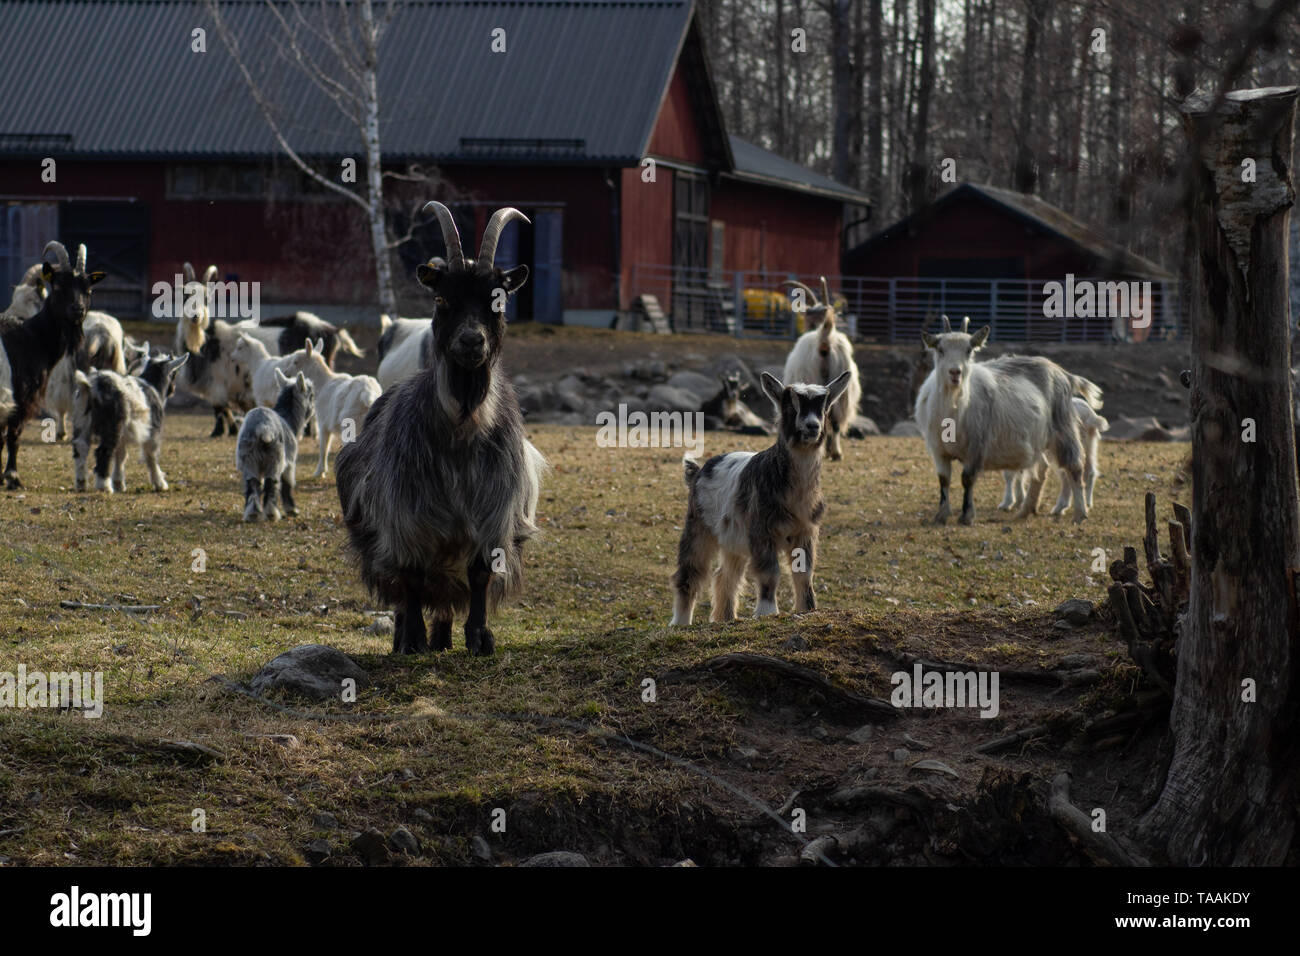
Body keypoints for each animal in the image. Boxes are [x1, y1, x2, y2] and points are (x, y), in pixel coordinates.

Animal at [0, 243, 102, 489]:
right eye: (57, 286)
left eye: (88, 289)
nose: (78, 309)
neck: (32, 336)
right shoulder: (22, 397)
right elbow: (13, 435)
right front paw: (12, 477)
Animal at [909, 316, 1102, 528]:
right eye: (940, 349)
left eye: (969, 350)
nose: (955, 372)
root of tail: (1064, 374)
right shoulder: (939, 450)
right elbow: (944, 480)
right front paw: (941, 515)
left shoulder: (976, 446)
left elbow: (967, 479)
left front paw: (966, 516)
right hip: (1038, 441)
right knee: (1042, 469)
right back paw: (1025, 510)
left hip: (1063, 429)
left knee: (1075, 467)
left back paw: (1080, 513)